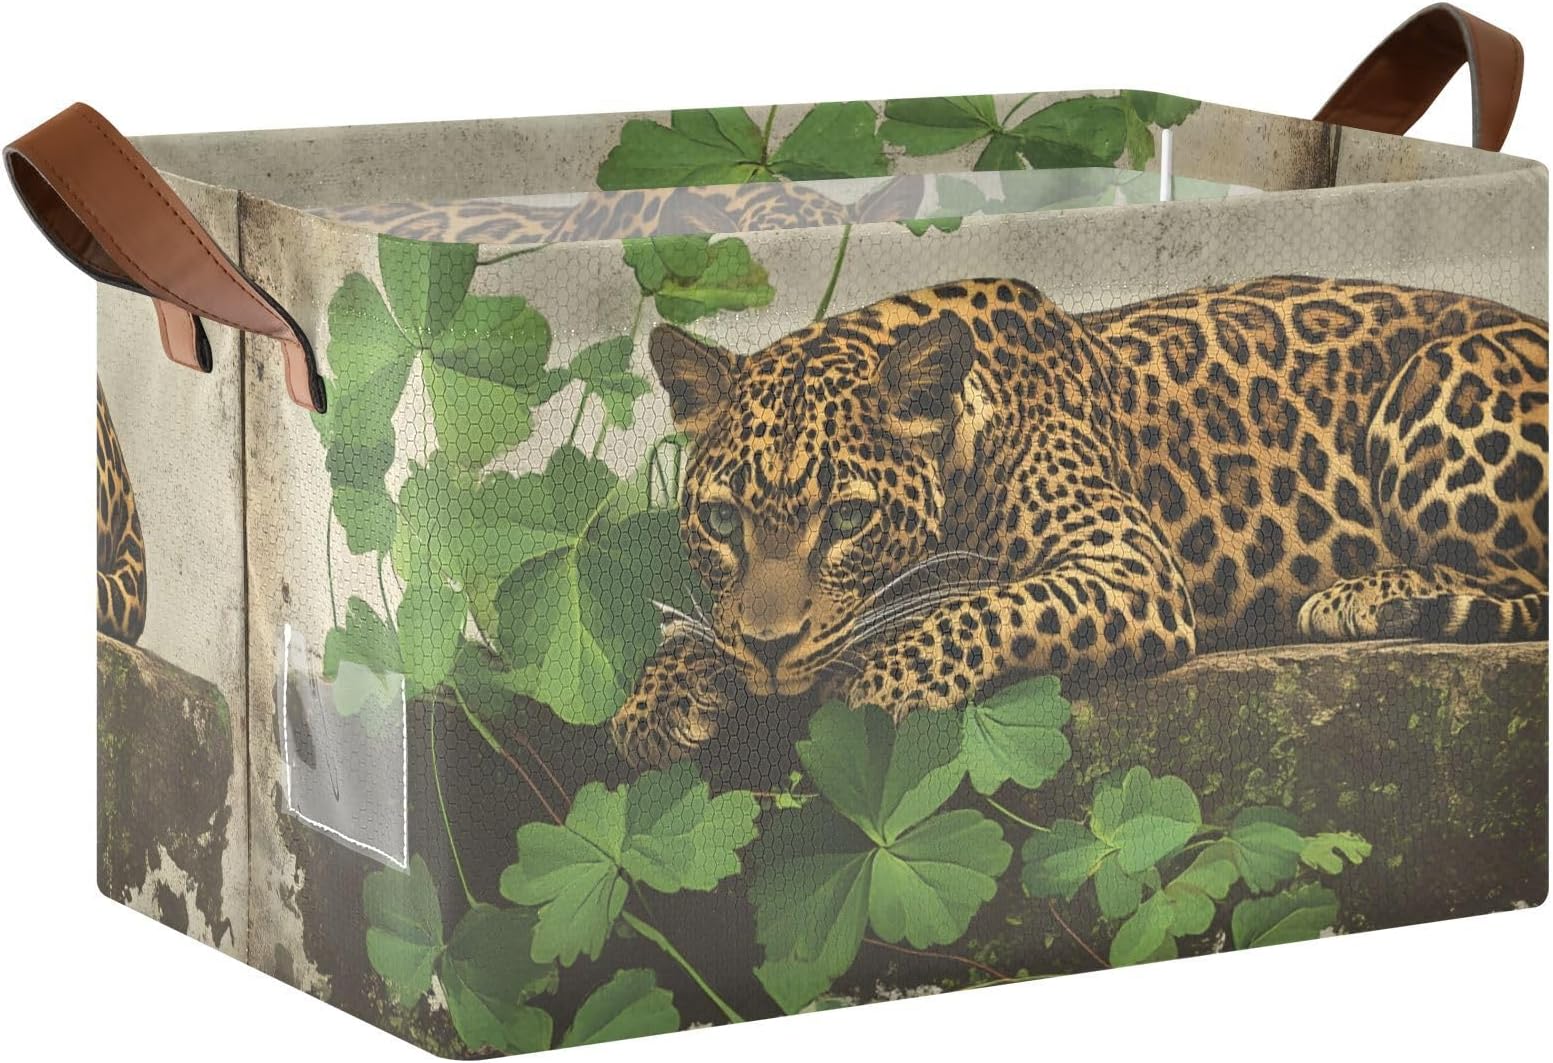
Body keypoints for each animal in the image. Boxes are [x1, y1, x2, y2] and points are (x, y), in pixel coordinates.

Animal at [611, 275, 1549, 767]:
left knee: (1522, 584)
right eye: (722, 520)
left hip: (1440, 382)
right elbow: (705, 625)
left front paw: (877, 684)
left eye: (845, 517)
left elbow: (983, 607)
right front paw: (657, 698)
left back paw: (1365, 596)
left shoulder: (1126, 567)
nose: (770, 653)